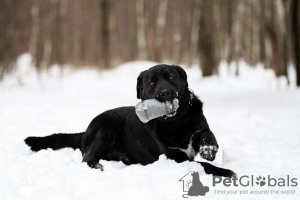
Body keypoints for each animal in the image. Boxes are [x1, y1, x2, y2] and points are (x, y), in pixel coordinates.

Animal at [24, 64, 236, 177]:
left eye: (171, 76)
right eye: (151, 82)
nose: (165, 93)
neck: (175, 121)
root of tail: (84, 131)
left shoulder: (198, 127)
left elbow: (206, 132)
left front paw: (209, 150)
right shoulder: (174, 157)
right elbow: (201, 165)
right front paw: (225, 172)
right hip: (107, 126)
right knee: (86, 158)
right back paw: (98, 165)